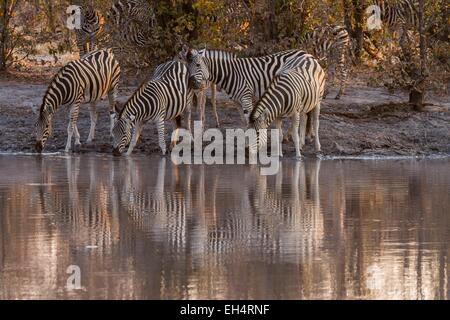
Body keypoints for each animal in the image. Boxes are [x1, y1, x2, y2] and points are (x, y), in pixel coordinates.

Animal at [180, 47, 316, 124]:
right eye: (187, 66)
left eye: (198, 65)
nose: (191, 84)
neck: (231, 73)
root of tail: (306, 53)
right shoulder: (236, 101)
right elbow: (244, 121)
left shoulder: (246, 98)